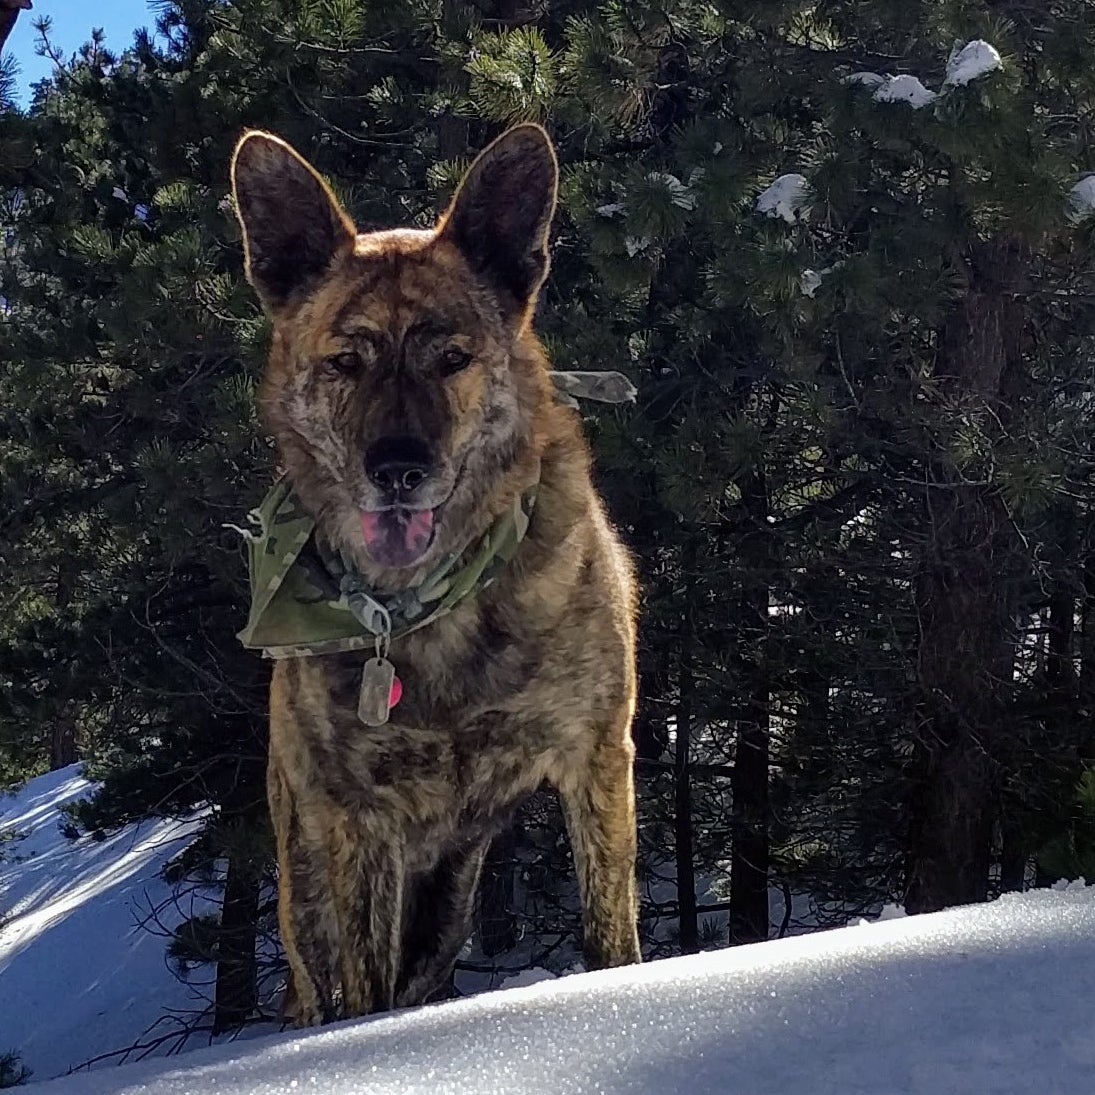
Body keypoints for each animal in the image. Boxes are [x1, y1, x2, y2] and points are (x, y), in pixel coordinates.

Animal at [231, 124, 639, 1020]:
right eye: (345, 362)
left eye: (452, 357)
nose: (397, 468)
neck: (429, 606)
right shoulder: (355, 822)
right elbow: (364, 992)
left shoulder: (595, 753)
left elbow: (611, 932)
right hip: (309, 885)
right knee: (326, 983)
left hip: (446, 903)